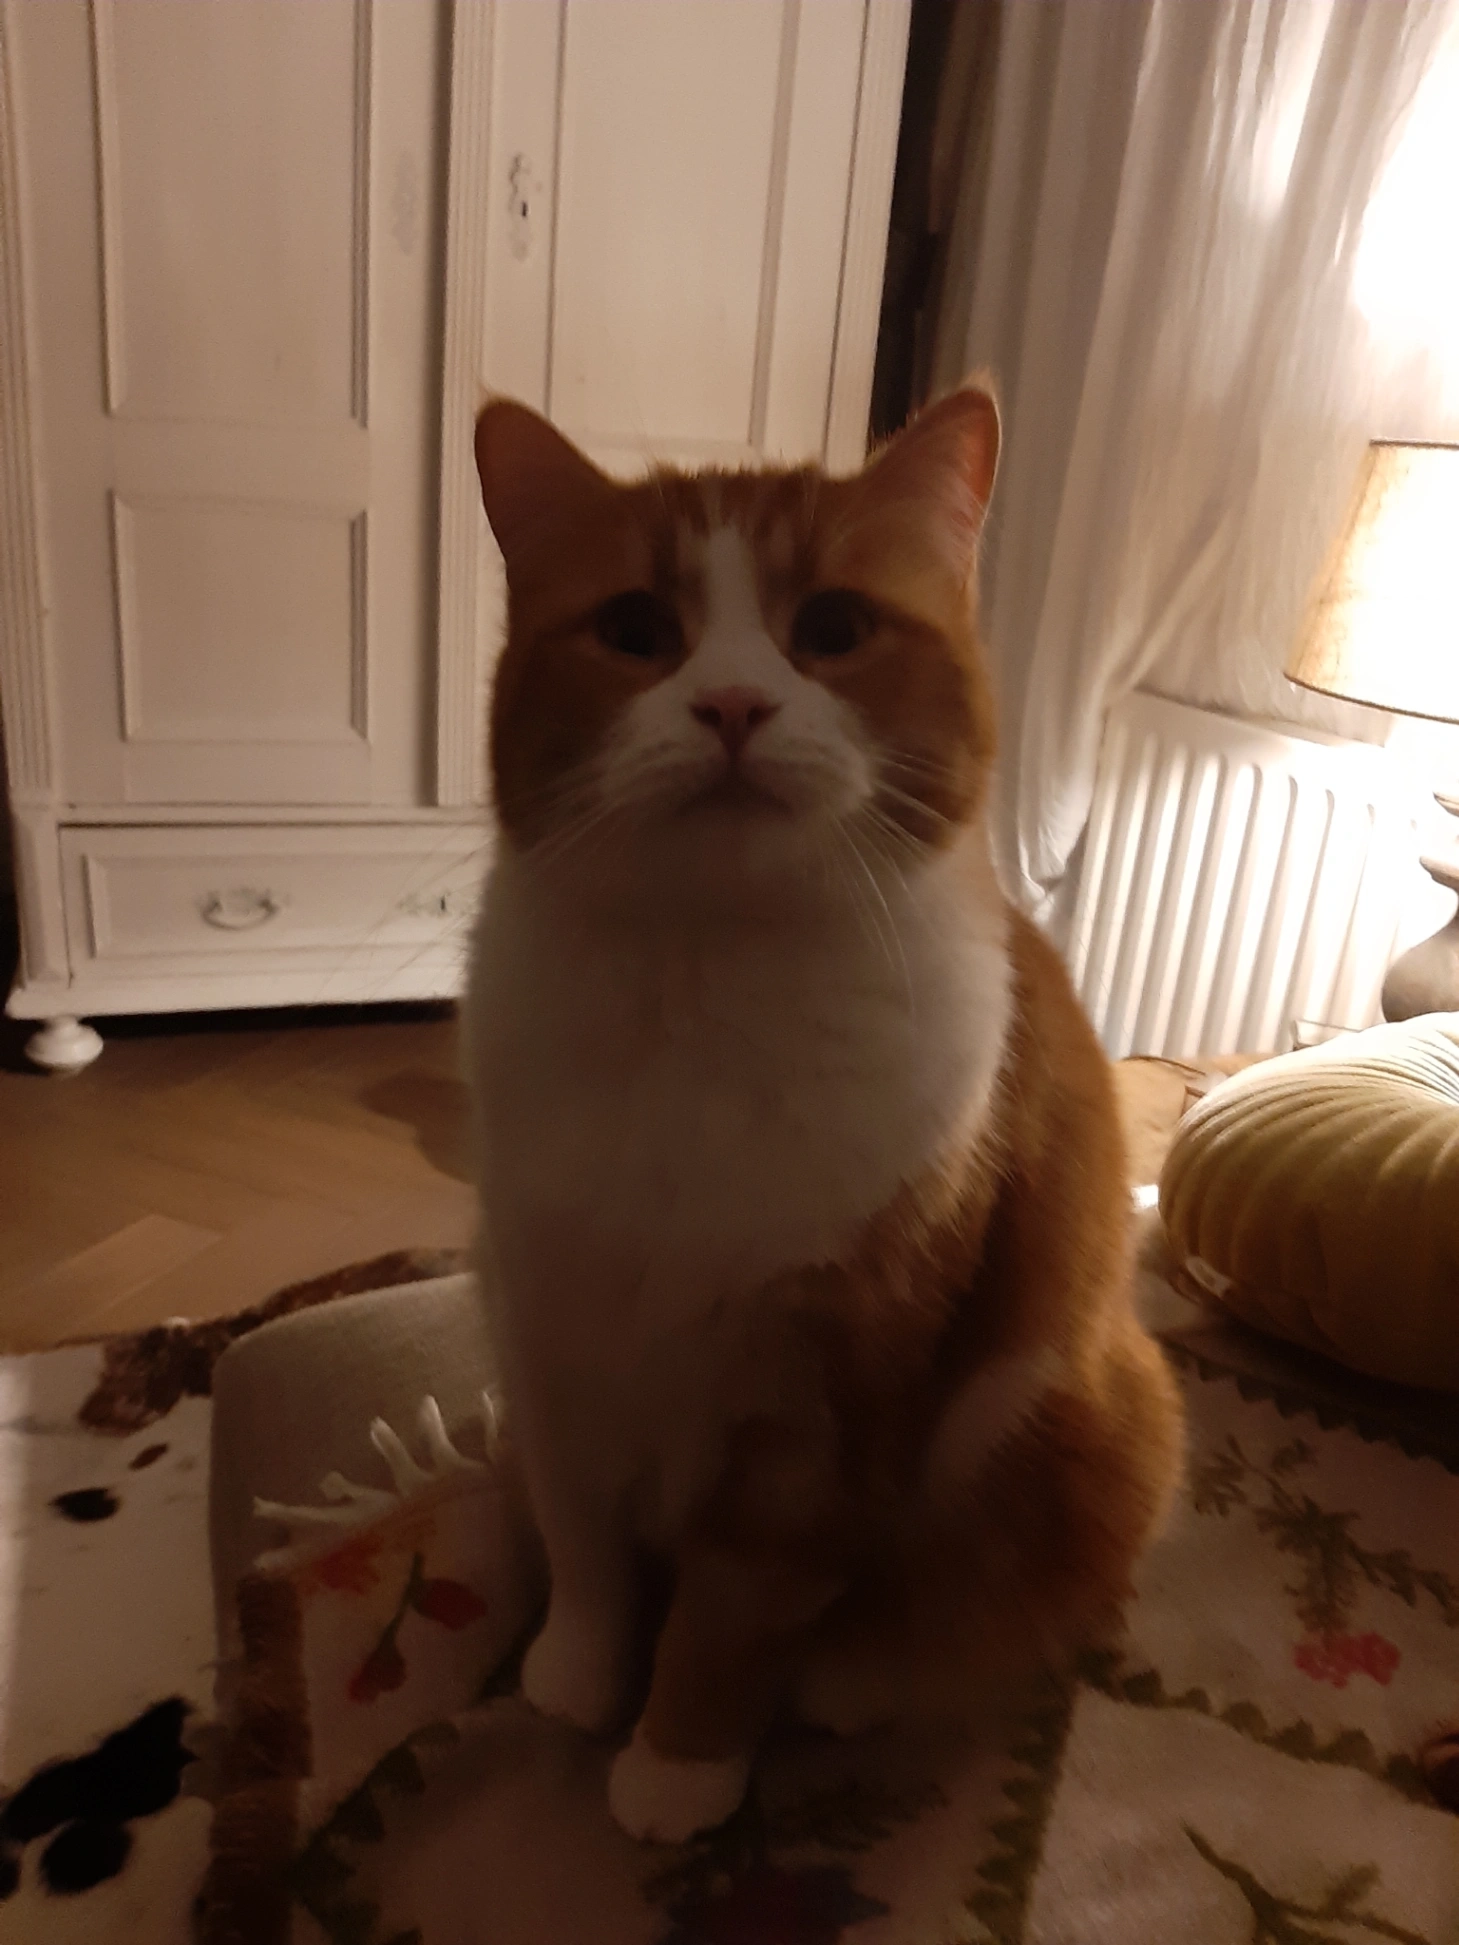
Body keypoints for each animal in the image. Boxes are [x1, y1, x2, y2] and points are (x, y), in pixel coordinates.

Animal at [464, 382, 1183, 1844]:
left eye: (834, 630)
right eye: (637, 630)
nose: (733, 702)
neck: (702, 988)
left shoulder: (823, 1399)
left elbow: (733, 1614)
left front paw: (677, 1764)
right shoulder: (548, 1329)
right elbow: (584, 1538)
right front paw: (575, 1672)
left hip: (1080, 1425)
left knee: (959, 1608)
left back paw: (849, 1678)